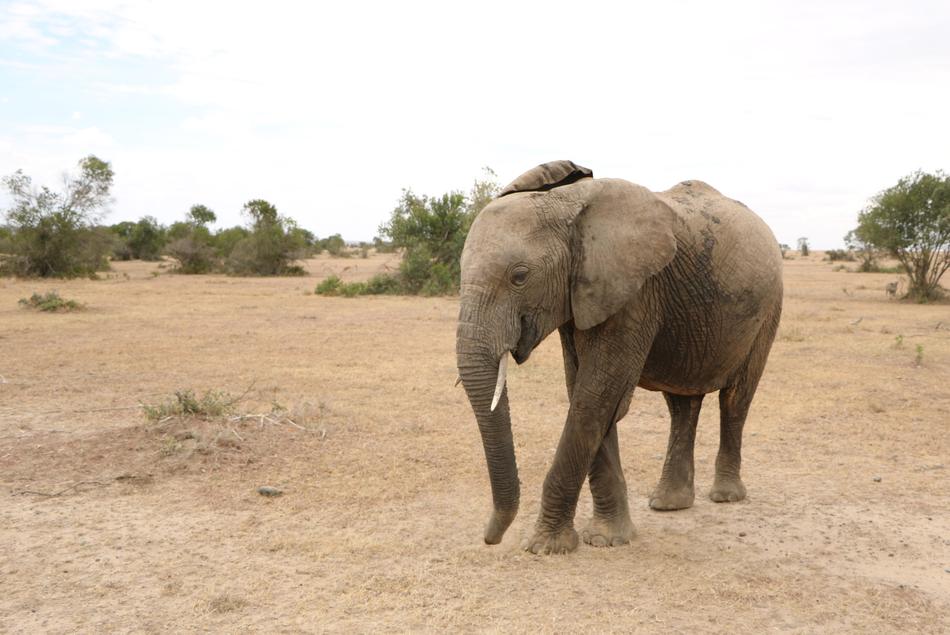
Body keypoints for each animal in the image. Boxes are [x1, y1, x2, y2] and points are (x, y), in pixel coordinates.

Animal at [455, 160, 783, 554]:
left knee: (735, 399)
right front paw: (607, 538)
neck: (568, 204)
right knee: (682, 405)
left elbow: (595, 395)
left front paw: (547, 547)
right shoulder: (583, 294)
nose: (491, 538)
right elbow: (586, 393)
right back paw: (669, 504)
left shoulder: (636, 293)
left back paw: (725, 497)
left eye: (519, 276)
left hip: (768, 308)